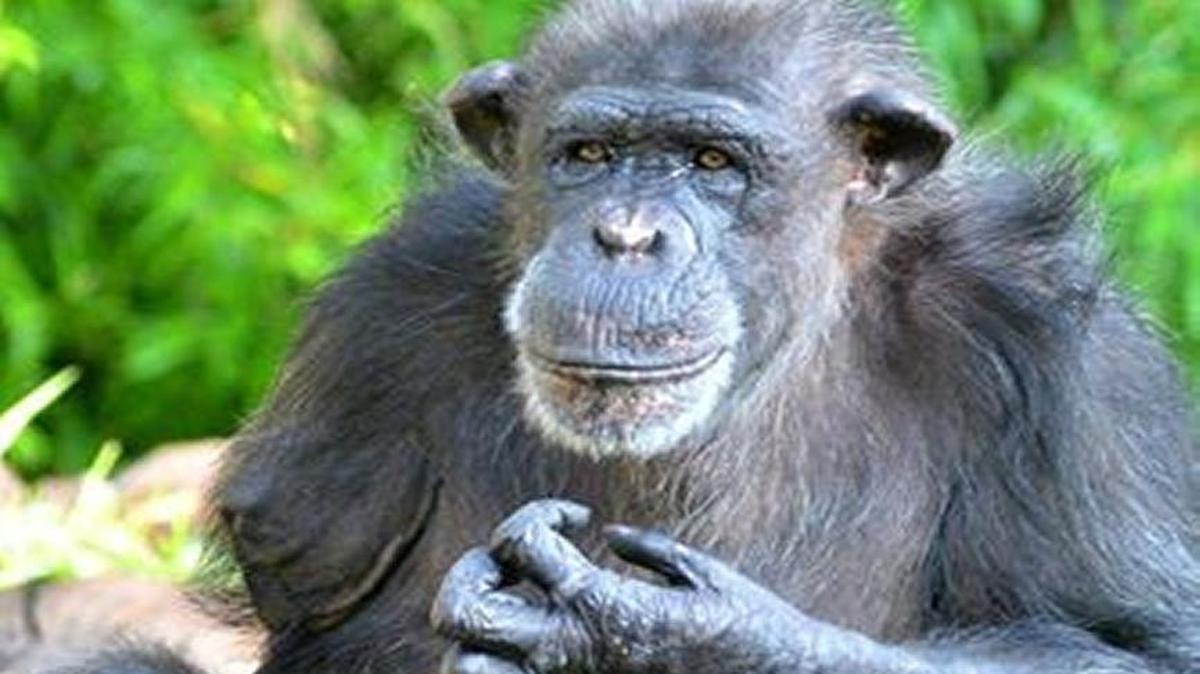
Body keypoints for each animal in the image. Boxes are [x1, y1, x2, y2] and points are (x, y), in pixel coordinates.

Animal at [20, 0, 1199, 672]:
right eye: (587, 154)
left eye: (714, 163)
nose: (627, 234)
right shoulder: (378, 317)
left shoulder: (1061, 356)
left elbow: (1135, 645)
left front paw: (658, 631)